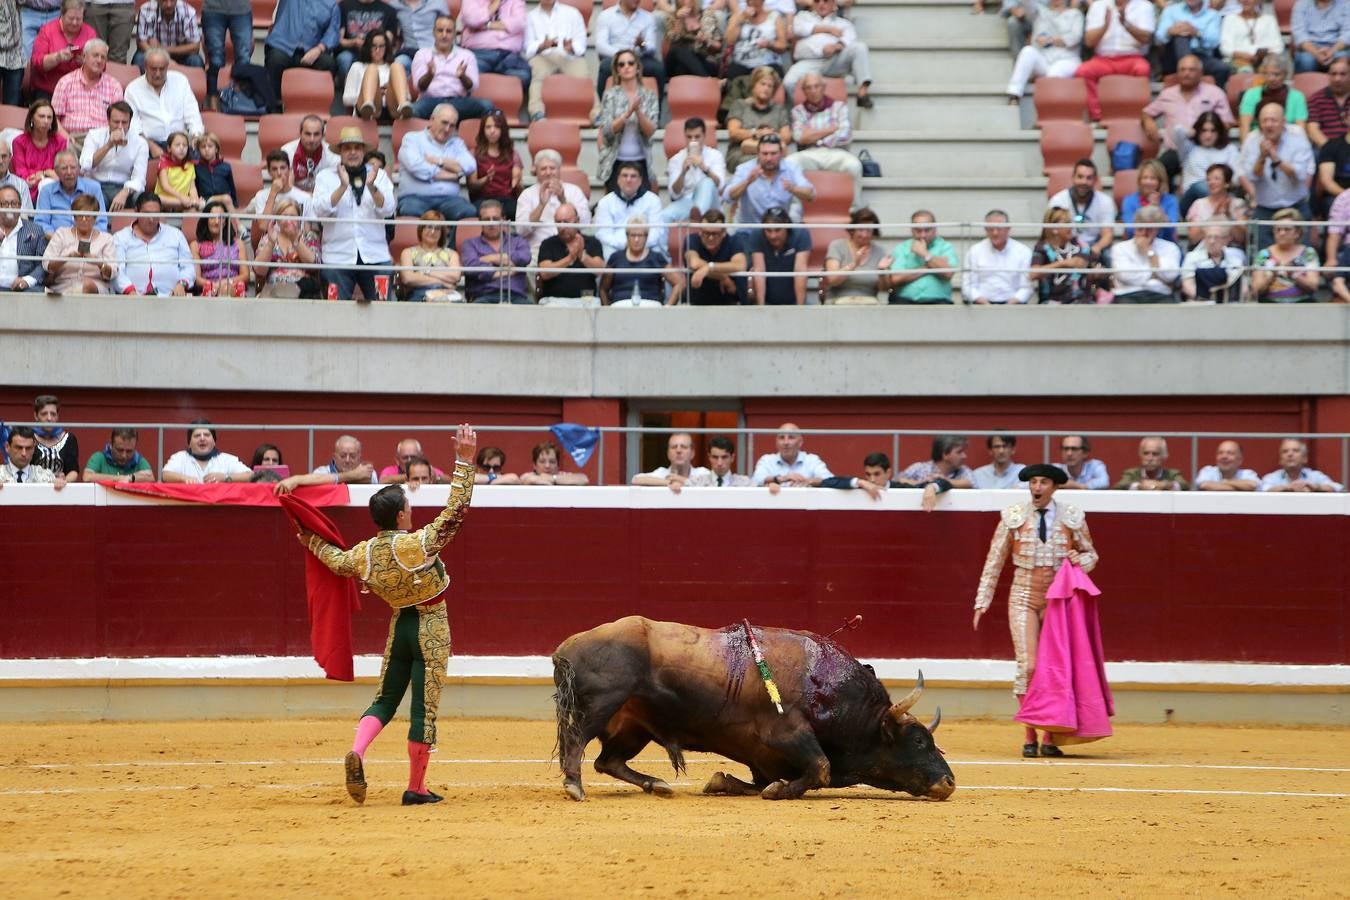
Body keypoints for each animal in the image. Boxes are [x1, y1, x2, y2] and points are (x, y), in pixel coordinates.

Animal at [545, 620, 950, 804]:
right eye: (918, 740)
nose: (948, 782)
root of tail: (566, 647)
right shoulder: (788, 733)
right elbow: (820, 768)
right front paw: (778, 791)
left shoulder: (762, 758)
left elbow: (759, 780)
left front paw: (721, 781)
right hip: (600, 705)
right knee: (576, 742)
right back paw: (575, 786)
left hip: (632, 727)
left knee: (608, 760)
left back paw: (655, 784)